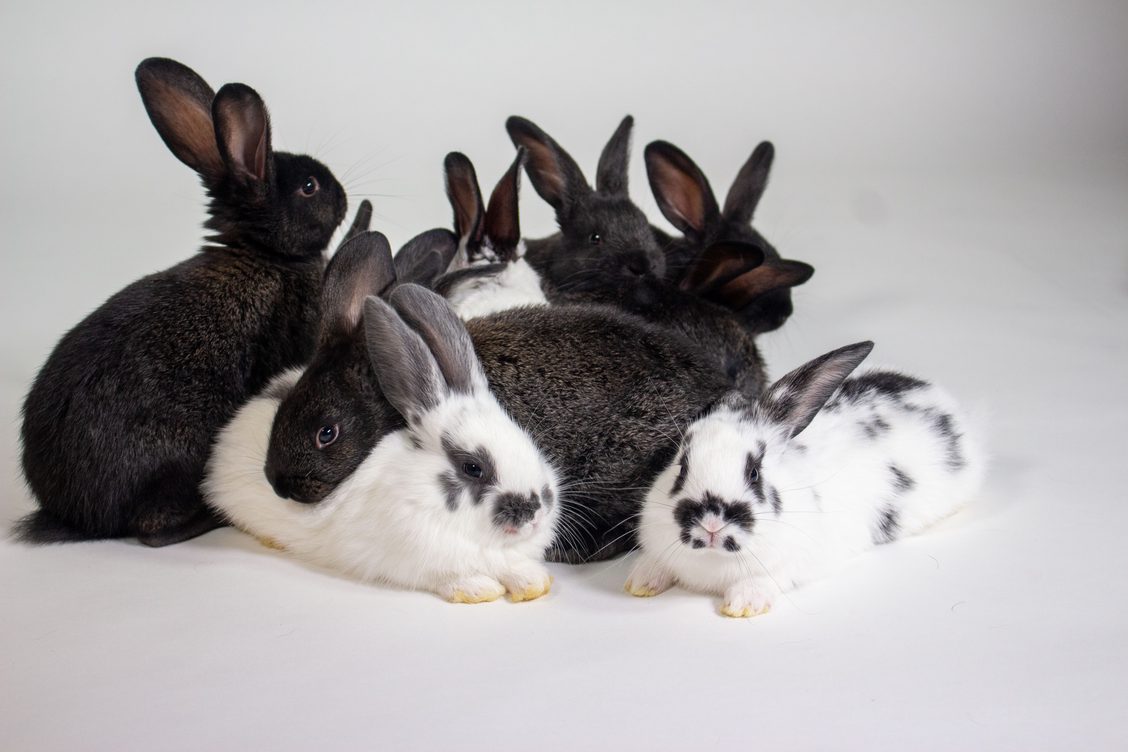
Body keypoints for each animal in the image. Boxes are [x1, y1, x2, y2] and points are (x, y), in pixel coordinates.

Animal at [15, 57, 349, 546]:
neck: (265, 253)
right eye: (309, 186)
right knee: (151, 530)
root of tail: (77, 515)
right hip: (177, 455)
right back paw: (209, 517)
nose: (343, 197)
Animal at [204, 281, 562, 603]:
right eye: (473, 467)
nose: (536, 511)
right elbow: (451, 579)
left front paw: (534, 582)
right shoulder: (420, 562)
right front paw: (478, 590)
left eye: (529, 443)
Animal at [626, 341, 985, 617]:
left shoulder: (800, 561)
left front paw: (743, 604)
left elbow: (772, 578)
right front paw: (639, 582)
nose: (711, 523)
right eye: (682, 467)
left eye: (754, 472)